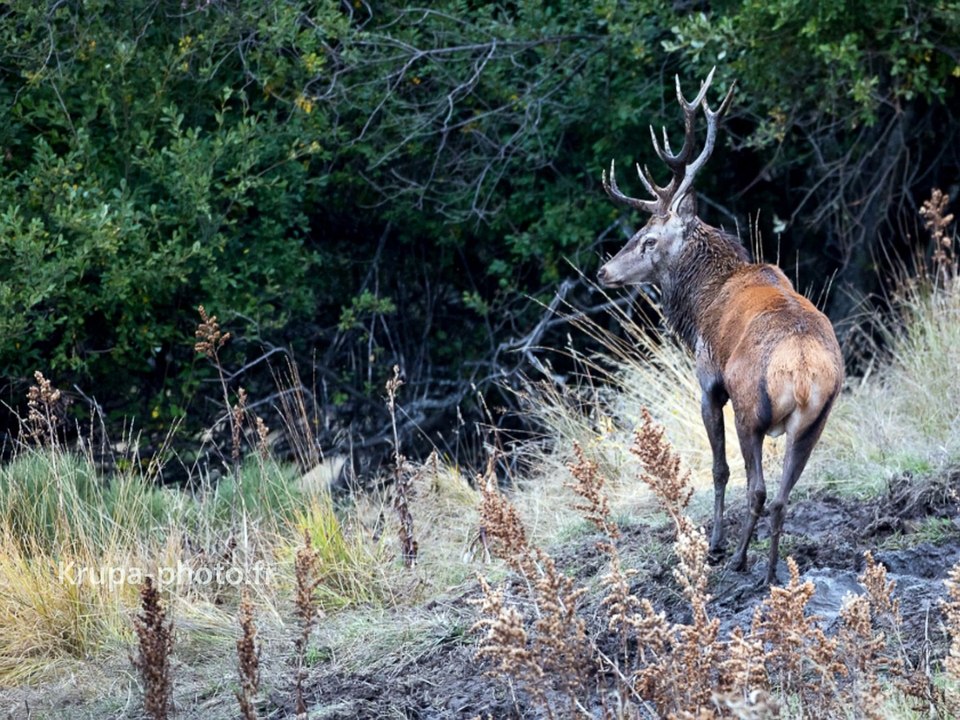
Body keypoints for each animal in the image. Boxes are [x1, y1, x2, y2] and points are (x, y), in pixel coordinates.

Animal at [596, 69, 844, 585]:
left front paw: (712, 543)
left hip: (752, 408)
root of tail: (805, 373)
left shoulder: (708, 380)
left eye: (648, 239)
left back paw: (737, 559)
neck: (699, 304)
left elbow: (717, 469)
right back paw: (770, 573)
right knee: (783, 495)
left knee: (757, 488)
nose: (604, 271)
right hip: (816, 420)